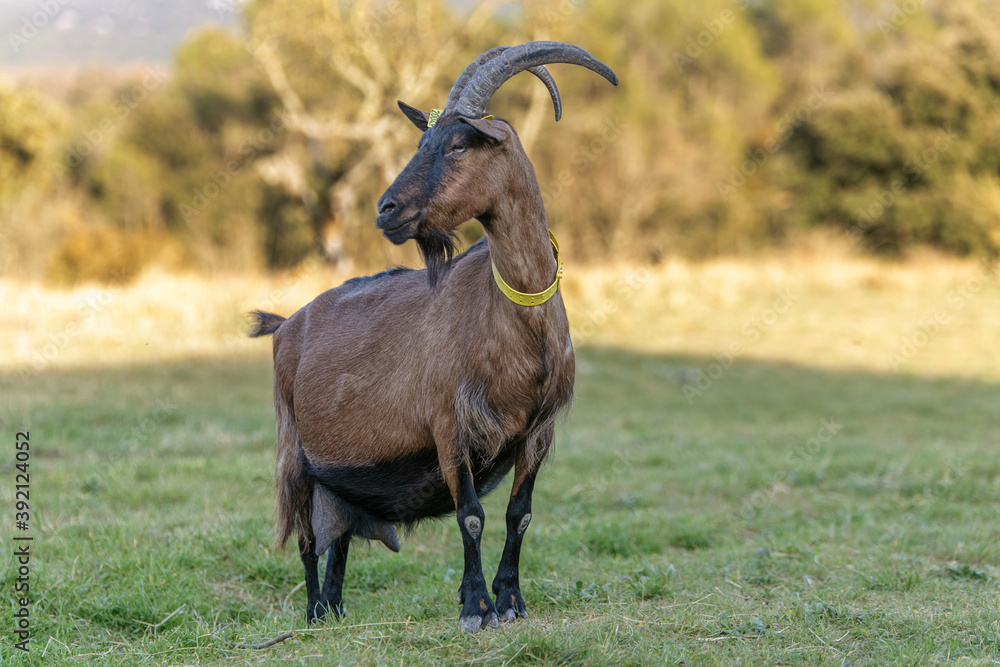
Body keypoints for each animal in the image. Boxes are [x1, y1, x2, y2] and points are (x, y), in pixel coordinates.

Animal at [250, 41, 617, 633]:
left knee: (339, 539)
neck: (517, 325)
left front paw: (511, 600)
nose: (386, 210)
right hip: (294, 454)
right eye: (423, 141)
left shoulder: (539, 429)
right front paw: (475, 607)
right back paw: (313, 614)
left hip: (343, 478)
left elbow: (519, 514)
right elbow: (471, 516)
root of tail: (286, 324)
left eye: (460, 143)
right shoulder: (449, 425)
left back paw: (335, 609)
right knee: (306, 538)